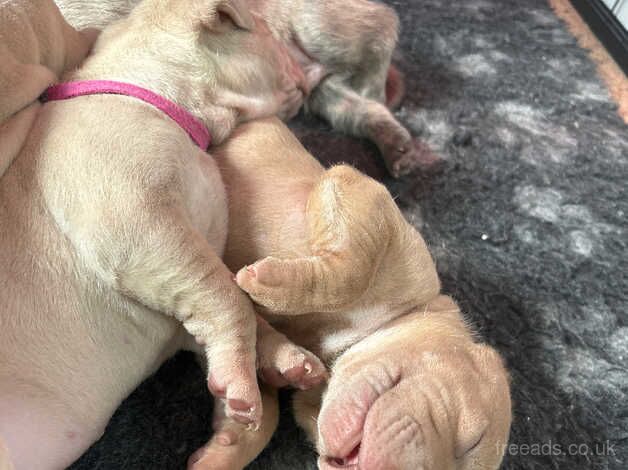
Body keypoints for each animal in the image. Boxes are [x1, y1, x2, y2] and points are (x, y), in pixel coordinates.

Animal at [184, 117, 512, 470]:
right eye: (472, 438)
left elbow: (259, 407)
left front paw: (224, 448)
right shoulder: (361, 195)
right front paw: (269, 286)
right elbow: (352, 272)